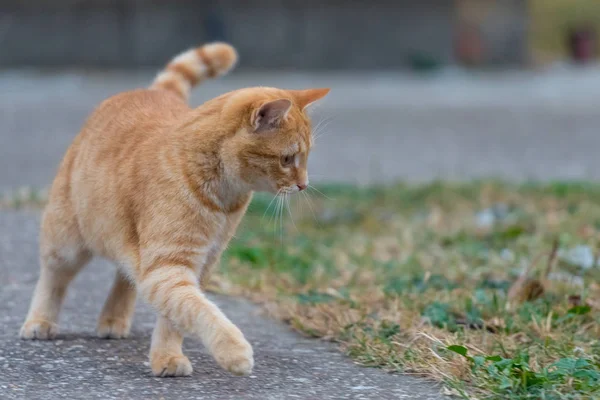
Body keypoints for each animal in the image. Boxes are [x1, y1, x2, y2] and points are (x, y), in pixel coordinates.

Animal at [19, 42, 328, 376]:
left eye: (305, 158)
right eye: (287, 159)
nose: (304, 185)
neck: (222, 196)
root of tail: (154, 91)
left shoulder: (194, 264)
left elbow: (177, 316)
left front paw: (167, 356)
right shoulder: (169, 265)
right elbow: (199, 310)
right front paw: (232, 350)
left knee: (125, 278)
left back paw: (113, 320)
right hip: (66, 241)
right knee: (53, 278)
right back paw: (40, 321)